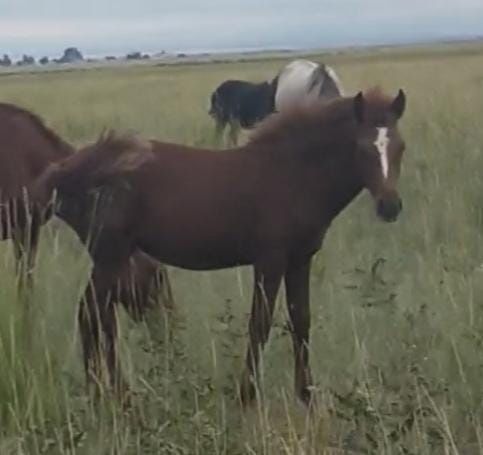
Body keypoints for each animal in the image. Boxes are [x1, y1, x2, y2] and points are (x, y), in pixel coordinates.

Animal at [32, 88, 406, 406]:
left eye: (400, 147)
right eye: (362, 147)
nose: (390, 207)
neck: (293, 174)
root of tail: (66, 169)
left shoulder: (301, 259)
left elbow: (301, 321)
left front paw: (307, 396)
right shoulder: (270, 260)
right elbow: (260, 323)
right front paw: (247, 396)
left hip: (112, 257)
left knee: (100, 316)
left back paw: (109, 394)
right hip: (109, 254)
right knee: (90, 313)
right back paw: (106, 397)